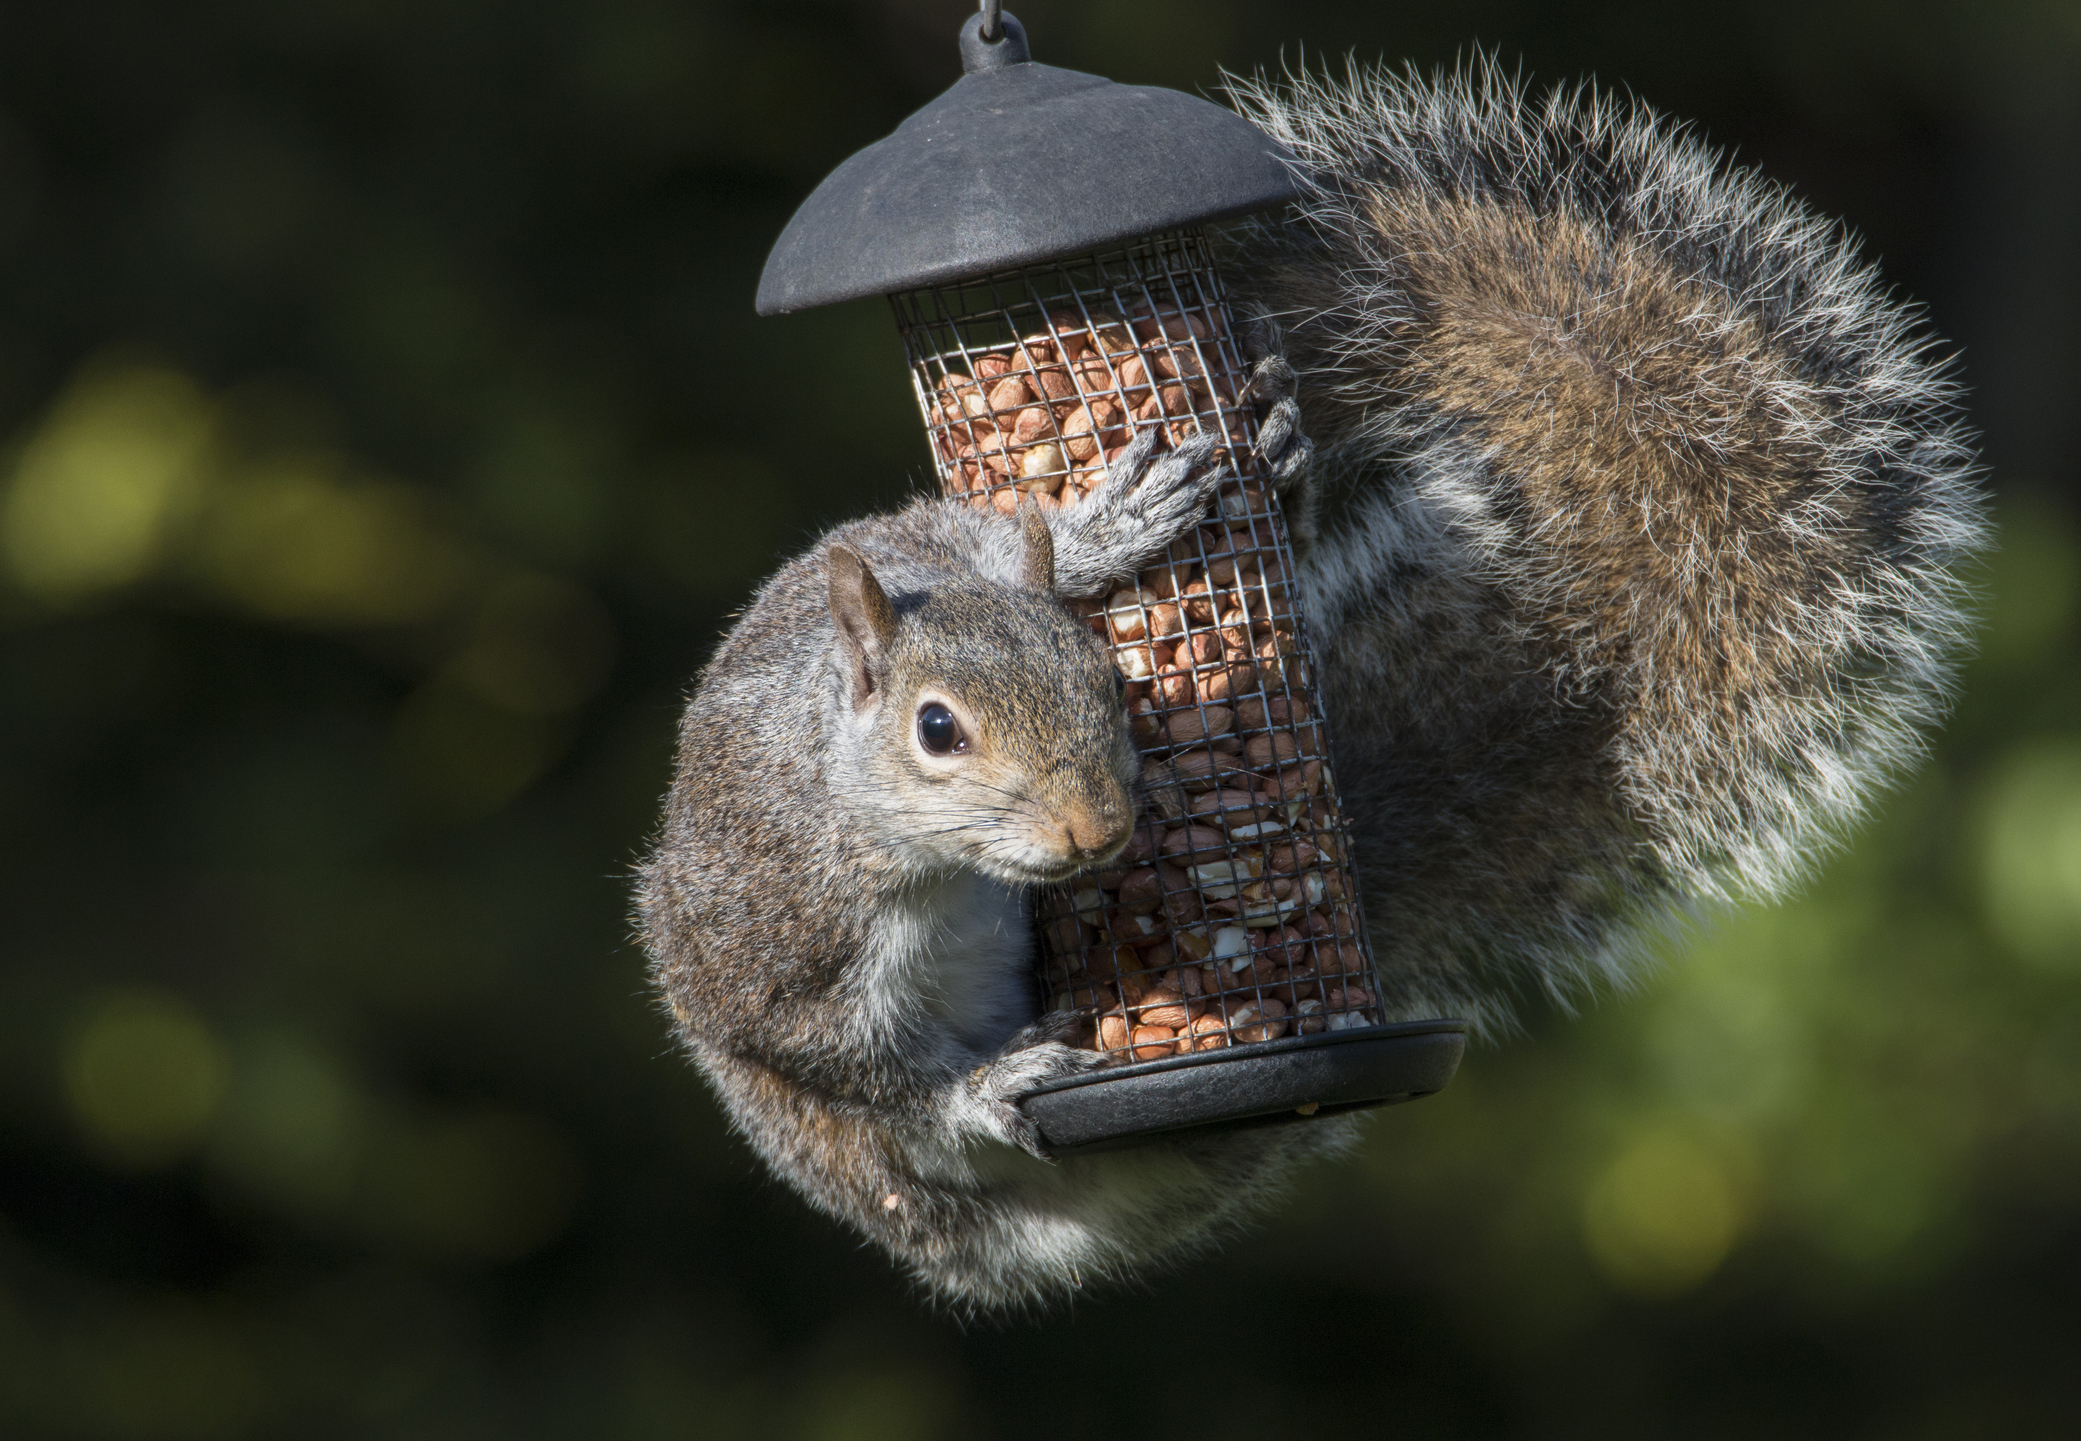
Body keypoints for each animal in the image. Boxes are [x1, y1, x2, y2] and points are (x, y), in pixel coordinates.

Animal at [636, 60, 1987, 1312]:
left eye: (1104, 685)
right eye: (934, 730)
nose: (1094, 831)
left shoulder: (923, 541)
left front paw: (1106, 529)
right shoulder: (777, 948)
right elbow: (863, 1070)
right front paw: (985, 1083)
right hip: (850, 1159)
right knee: (906, 1145)